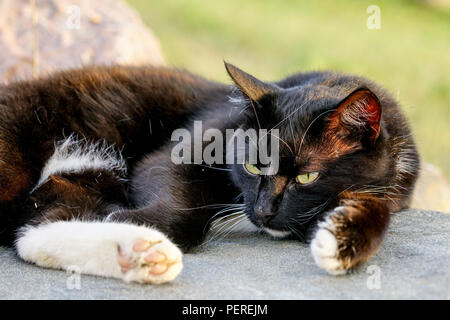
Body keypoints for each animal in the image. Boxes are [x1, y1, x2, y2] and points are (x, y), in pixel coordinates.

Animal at [0, 62, 418, 282]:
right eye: (251, 165)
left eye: (306, 178)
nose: (263, 212)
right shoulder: (182, 148)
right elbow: (185, 206)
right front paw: (129, 219)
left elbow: (378, 207)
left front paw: (343, 239)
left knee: (34, 229)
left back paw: (139, 254)